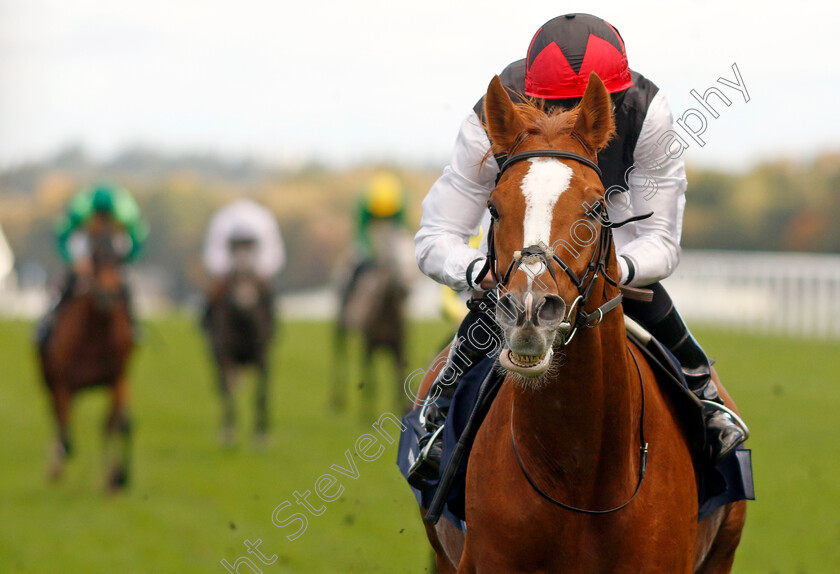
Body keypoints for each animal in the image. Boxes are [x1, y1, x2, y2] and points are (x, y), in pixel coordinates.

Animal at [37, 218, 135, 492]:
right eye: (93, 253)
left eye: (121, 255)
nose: (106, 295)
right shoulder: (62, 383)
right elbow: (67, 437)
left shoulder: (117, 376)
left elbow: (118, 424)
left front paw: (117, 477)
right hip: (49, 382)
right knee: (58, 424)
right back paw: (54, 469)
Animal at [203, 236, 276, 448]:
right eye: (234, 272)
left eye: (251, 268)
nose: (244, 299)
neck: (243, 323)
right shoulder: (224, 355)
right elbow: (228, 391)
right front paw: (228, 433)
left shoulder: (263, 356)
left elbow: (261, 394)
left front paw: (261, 436)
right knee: (225, 387)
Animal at [334, 220, 416, 418]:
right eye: (394, 259)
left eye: (412, 254)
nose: (407, 288)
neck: (386, 311)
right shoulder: (368, 344)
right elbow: (372, 382)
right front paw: (366, 414)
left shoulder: (398, 346)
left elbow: (399, 380)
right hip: (341, 325)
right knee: (340, 355)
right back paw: (337, 400)